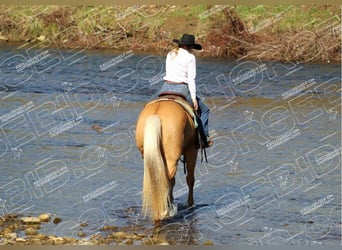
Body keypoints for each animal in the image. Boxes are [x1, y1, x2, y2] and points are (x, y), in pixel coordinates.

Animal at [134, 97, 198, 225]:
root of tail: (156, 115)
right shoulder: (192, 151)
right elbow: (190, 179)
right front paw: (190, 203)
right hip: (172, 159)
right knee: (168, 180)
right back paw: (165, 211)